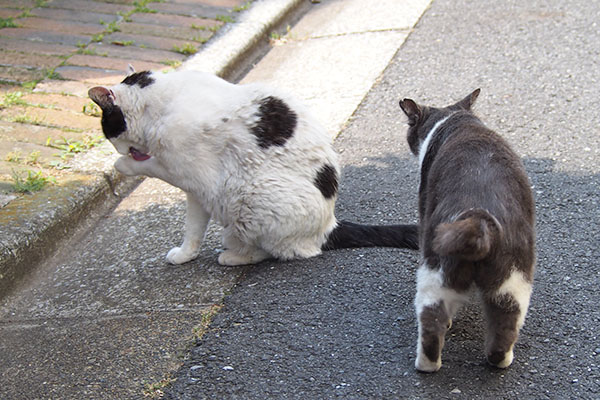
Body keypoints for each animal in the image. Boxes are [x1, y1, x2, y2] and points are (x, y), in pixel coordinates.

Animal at [398, 89, 536, 370]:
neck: (456, 121)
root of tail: (479, 217)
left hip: (435, 267)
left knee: (432, 320)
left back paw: (426, 365)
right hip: (514, 280)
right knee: (506, 323)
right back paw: (501, 361)